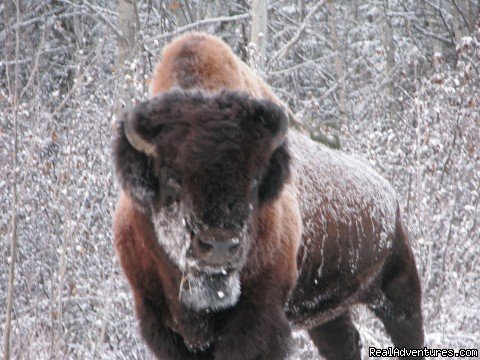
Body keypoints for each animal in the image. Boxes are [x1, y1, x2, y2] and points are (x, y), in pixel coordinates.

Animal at [113, 32, 424, 358]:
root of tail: (389, 194)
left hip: (398, 292)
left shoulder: (260, 314)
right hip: (327, 314)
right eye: (172, 178)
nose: (219, 245)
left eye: (254, 180)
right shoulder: (158, 320)